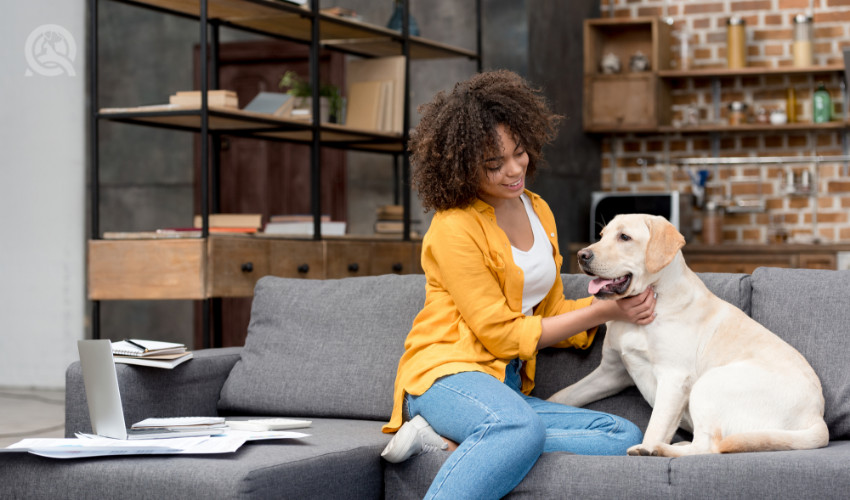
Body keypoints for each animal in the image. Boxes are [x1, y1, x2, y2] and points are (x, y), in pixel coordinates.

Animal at [548, 213, 824, 456]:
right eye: (602, 235)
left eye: (624, 237)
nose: (582, 255)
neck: (655, 295)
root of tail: (817, 418)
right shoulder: (611, 373)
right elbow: (563, 395)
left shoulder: (673, 378)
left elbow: (656, 424)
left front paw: (647, 447)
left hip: (709, 384)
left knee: (708, 446)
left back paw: (657, 450)